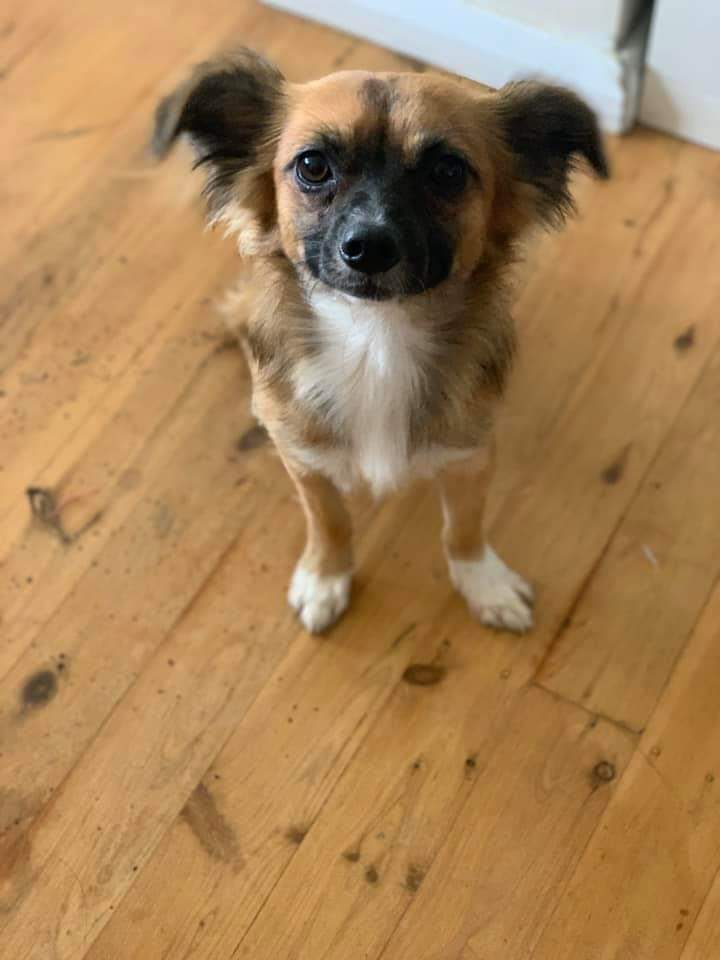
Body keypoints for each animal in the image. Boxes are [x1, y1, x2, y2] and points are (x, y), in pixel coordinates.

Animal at [152, 49, 608, 634]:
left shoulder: (470, 454)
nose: (369, 246)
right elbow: (329, 522)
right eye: (312, 166)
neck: (377, 338)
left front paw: (483, 581)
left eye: (447, 172)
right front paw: (325, 577)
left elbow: (464, 528)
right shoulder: (305, 461)